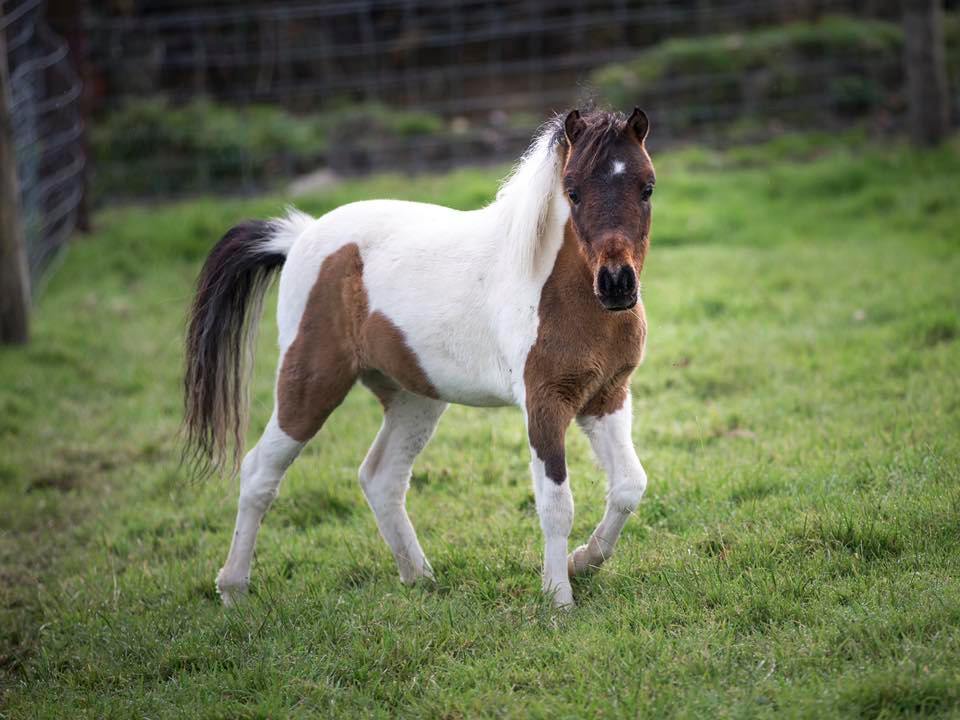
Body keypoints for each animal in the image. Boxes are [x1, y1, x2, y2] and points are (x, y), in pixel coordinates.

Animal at [183, 107, 656, 608]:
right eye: (573, 190)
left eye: (647, 187)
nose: (617, 284)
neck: (559, 291)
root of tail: (301, 236)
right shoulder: (544, 403)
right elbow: (556, 505)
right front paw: (559, 598)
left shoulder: (606, 396)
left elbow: (629, 485)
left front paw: (582, 562)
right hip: (310, 383)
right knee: (259, 472)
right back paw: (233, 589)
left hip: (415, 398)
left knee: (381, 477)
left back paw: (419, 576)